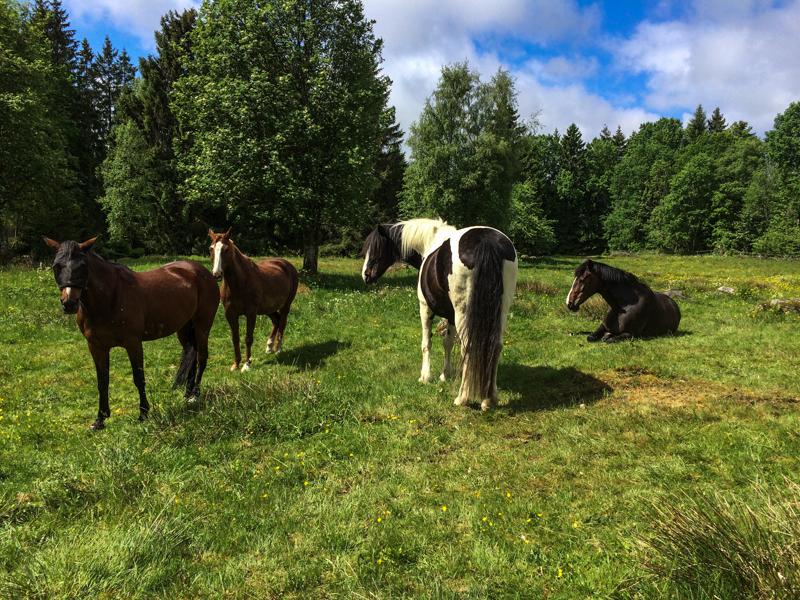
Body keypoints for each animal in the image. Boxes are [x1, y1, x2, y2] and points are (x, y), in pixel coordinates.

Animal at [43, 236, 220, 429]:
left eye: (83, 266)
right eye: (56, 266)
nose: (69, 303)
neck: (109, 298)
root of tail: (203, 271)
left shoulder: (133, 343)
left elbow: (138, 377)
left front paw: (143, 414)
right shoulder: (96, 347)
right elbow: (102, 381)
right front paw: (100, 419)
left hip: (203, 325)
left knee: (201, 357)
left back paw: (194, 395)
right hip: (184, 329)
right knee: (191, 357)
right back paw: (187, 394)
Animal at [208, 228, 299, 371]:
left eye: (226, 249)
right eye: (211, 249)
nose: (217, 274)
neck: (238, 282)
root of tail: (286, 264)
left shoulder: (251, 313)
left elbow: (248, 338)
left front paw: (246, 365)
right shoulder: (230, 313)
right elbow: (235, 338)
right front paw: (235, 365)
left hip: (286, 305)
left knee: (282, 322)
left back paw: (278, 347)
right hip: (268, 308)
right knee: (276, 320)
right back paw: (269, 347)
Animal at [360, 219, 518, 410]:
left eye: (376, 248)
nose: (366, 275)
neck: (430, 244)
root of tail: (486, 239)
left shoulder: (425, 309)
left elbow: (426, 343)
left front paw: (425, 377)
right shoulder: (450, 315)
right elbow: (447, 342)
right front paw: (445, 375)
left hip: (464, 313)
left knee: (469, 346)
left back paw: (462, 398)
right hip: (500, 311)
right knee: (496, 346)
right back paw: (489, 400)